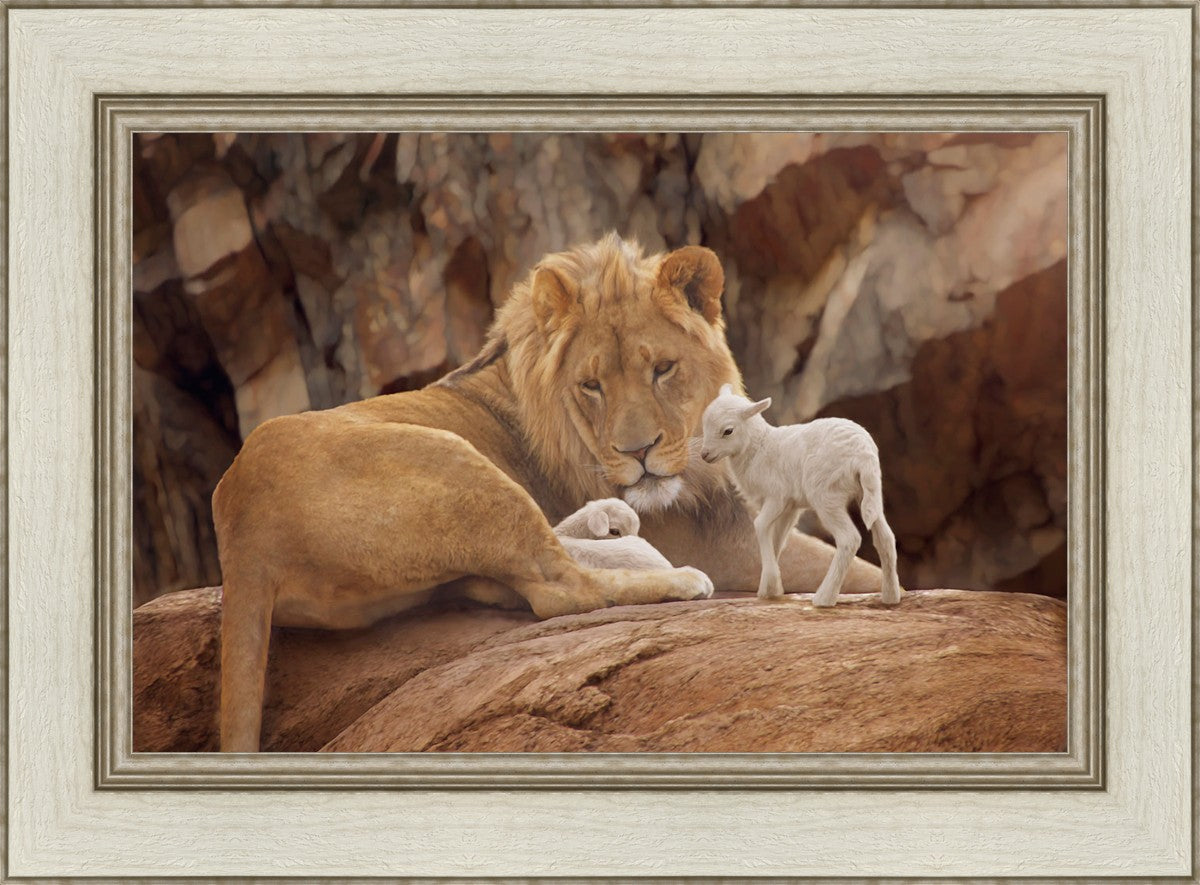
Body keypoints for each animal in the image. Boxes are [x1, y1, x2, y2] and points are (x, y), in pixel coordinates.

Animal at [212, 233, 881, 752]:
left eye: (662, 369)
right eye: (592, 385)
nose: (638, 453)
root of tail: (241, 529)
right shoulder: (727, 545)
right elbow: (858, 567)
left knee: (520, 573)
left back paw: (609, 525)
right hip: (455, 461)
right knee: (559, 588)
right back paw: (674, 577)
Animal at [699, 384, 902, 607]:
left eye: (728, 431)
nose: (704, 454)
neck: (758, 448)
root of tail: (863, 454)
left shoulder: (776, 497)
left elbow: (760, 525)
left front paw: (771, 584)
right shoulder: (790, 507)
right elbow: (777, 539)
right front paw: (769, 589)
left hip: (826, 495)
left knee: (849, 539)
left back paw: (824, 597)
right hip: (870, 492)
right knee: (885, 538)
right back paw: (891, 596)